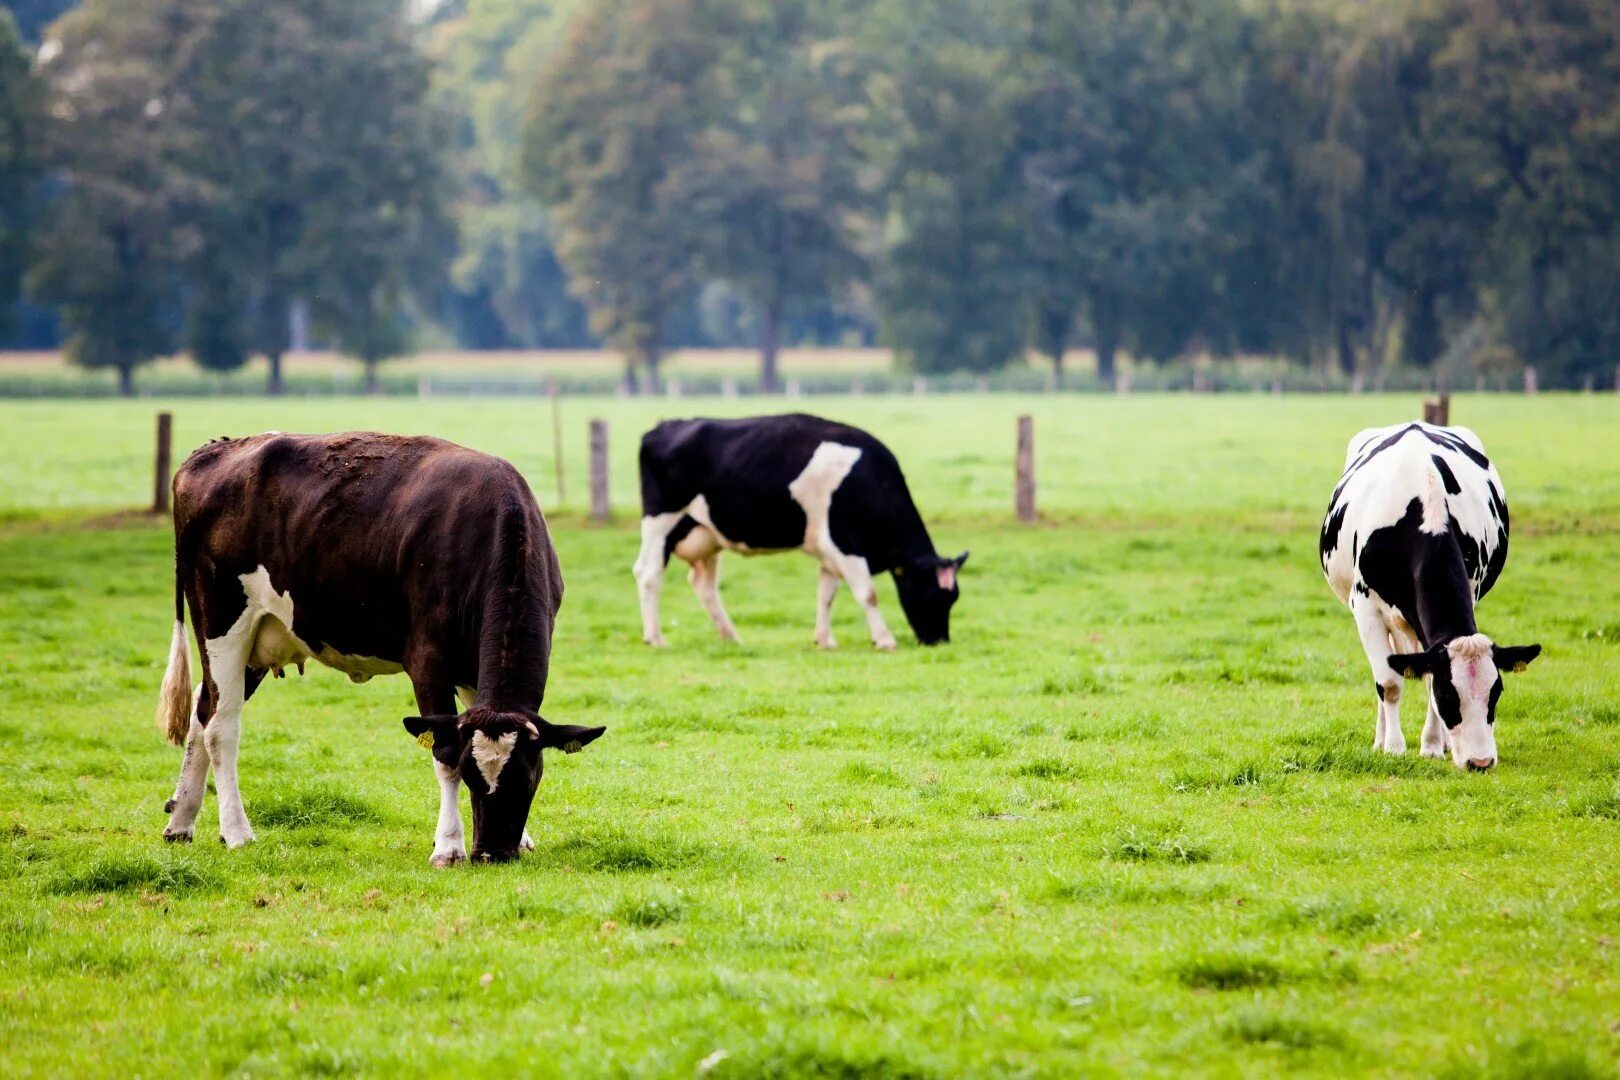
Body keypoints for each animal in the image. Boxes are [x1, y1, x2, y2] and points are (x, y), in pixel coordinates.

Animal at [154, 433, 602, 867]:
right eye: (471, 775)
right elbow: (443, 752)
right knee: (221, 726)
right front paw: (449, 847)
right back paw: (236, 832)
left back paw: (181, 819)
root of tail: (215, 450)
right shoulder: (428, 661)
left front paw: (521, 838)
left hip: (257, 639)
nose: (491, 853)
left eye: (528, 777)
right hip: (221, 619)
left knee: (203, 707)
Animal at [628, 414, 959, 650]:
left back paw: (730, 636)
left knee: (703, 584)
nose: (939, 640)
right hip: (661, 520)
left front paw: (824, 639)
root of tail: (663, 427)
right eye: (934, 594)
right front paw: (885, 639)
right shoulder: (846, 544)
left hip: (706, 533)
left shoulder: (829, 552)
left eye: (953, 597)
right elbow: (868, 594)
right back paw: (655, 638)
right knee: (648, 573)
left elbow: (826, 595)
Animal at [1315, 420, 1542, 767]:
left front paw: (1433, 746)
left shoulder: (1468, 591)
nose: (1480, 762)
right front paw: (1394, 747)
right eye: (1448, 694)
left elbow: (1423, 677)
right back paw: (1380, 739)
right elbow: (1389, 683)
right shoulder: (1366, 608)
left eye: (1496, 692)